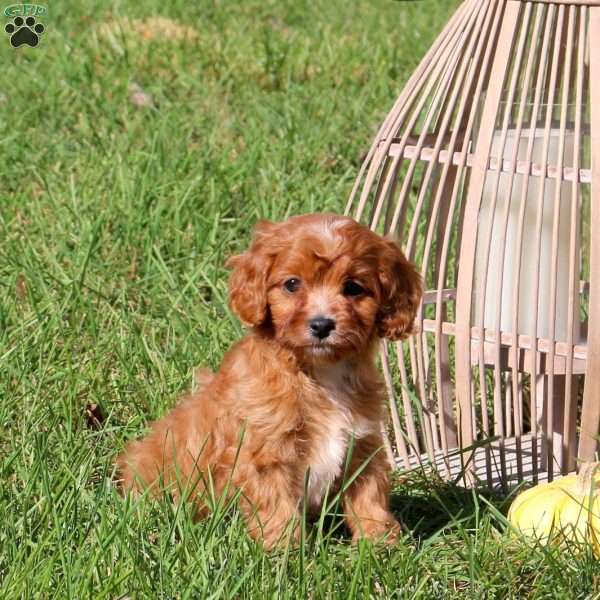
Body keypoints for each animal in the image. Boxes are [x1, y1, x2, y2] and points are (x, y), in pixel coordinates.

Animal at [117, 212, 422, 548]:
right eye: (292, 284)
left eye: (353, 288)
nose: (321, 325)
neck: (317, 372)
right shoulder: (264, 451)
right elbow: (277, 505)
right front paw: (285, 552)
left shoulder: (363, 443)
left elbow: (370, 495)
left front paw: (380, 544)